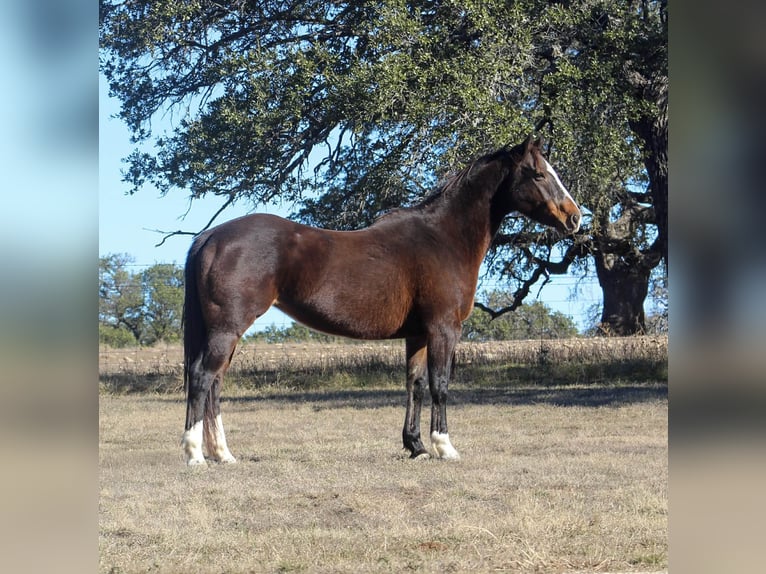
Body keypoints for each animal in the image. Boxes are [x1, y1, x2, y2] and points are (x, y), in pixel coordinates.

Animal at [181, 135, 581, 465]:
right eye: (538, 174)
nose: (574, 217)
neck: (443, 238)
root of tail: (211, 236)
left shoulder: (418, 334)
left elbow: (415, 385)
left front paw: (416, 446)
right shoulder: (443, 329)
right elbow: (440, 385)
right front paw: (445, 446)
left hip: (226, 333)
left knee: (215, 383)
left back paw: (223, 454)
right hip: (227, 329)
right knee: (202, 377)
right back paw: (195, 454)